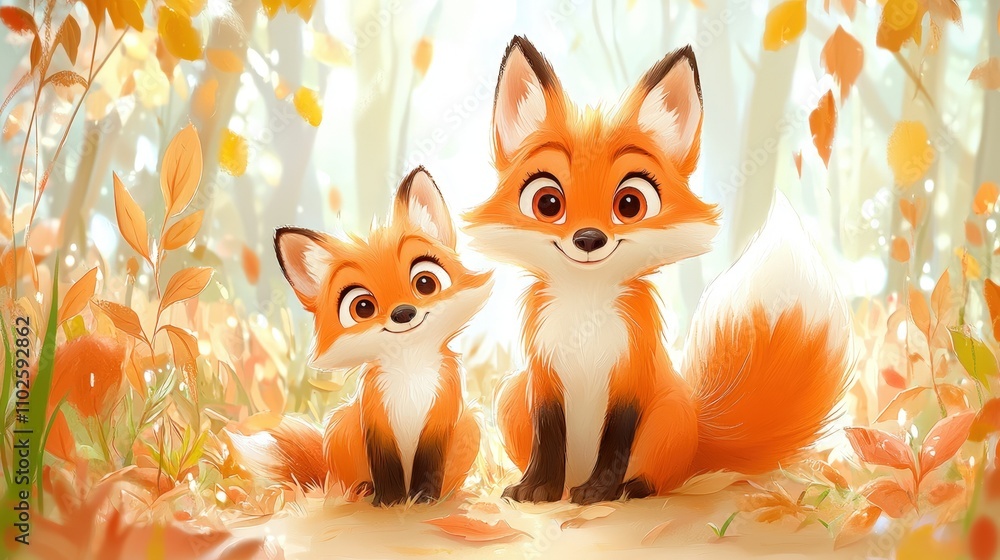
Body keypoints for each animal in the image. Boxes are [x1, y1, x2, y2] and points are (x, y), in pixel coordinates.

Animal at [230, 167, 493, 506]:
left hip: (470, 423)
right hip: (341, 422)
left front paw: (423, 499)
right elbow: (386, 467)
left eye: (425, 283)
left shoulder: (441, 415)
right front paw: (390, 502)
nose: (403, 313)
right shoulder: (376, 422)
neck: (409, 372)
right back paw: (362, 491)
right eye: (363, 307)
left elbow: (429, 465)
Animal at [464, 36, 851, 504]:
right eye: (548, 203)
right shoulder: (543, 377)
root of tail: (700, 436)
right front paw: (536, 487)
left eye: (630, 203)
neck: (585, 311)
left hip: (668, 413)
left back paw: (632, 488)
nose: (589, 238)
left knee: (659, 477)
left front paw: (600, 492)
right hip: (511, 393)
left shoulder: (631, 378)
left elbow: (615, 443)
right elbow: (549, 440)